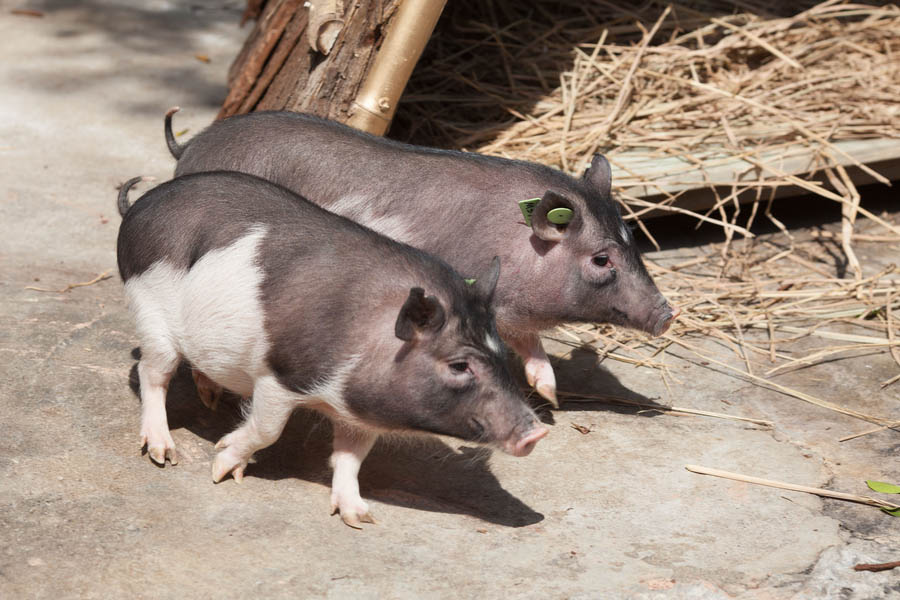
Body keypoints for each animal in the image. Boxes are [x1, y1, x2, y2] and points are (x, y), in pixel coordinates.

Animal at [116, 171, 548, 528]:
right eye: (459, 366)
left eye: (500, 354)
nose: (537, 432)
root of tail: (139, 207)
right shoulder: (281, 376)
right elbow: (267, 430)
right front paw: (222, 469)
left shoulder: (360, 414)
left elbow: (350, 458)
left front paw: (360, 519)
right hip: (149, 310)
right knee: (151, 374)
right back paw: (162, 453)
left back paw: (211, 397)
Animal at [165, 108, 678, 407]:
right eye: (601, 260)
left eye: (632, 237)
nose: (667, 313)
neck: (517, 245)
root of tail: (189, 147)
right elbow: (520, 338)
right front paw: (550, 400)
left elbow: (530, 344)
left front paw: (550, 397)